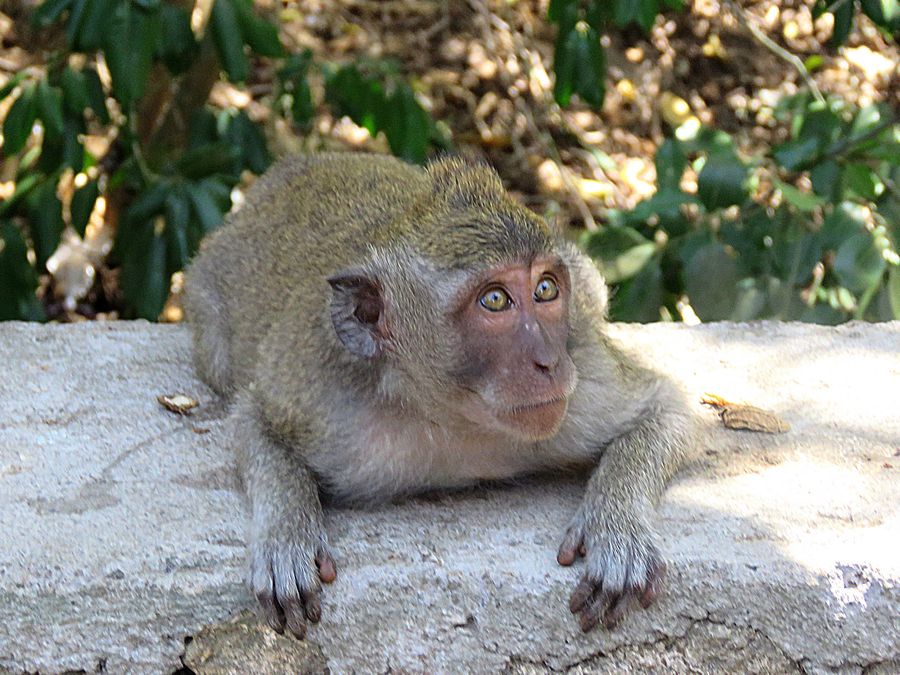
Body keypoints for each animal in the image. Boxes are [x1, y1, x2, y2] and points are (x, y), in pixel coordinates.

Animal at [183, 152, 693, 639]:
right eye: (495, 300)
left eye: (545, 289)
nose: (549, 362)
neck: (448, 411)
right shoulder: (320, 400)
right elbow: (254, 421)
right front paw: (285, 542)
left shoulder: (583, 381)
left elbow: (665, 407)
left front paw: (619, 536)